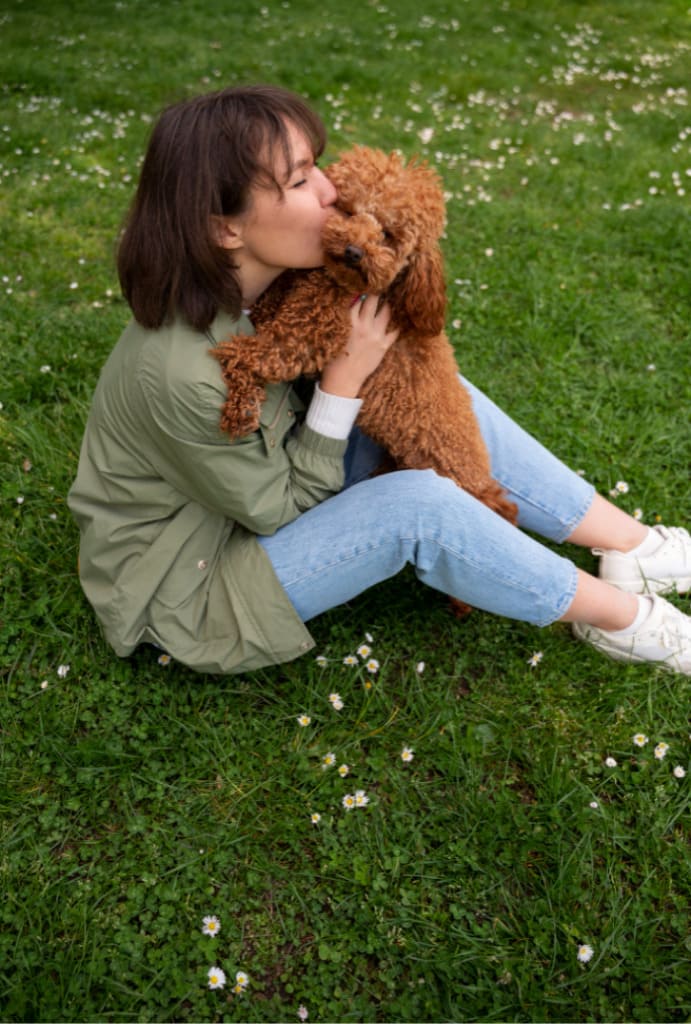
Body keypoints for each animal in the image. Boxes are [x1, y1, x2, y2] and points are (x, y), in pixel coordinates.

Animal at [213, 145, 515, 614]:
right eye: (348, 208)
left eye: (389, 234)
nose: (354, 251)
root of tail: (481, 483)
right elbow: (261, 313)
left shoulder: (303, 340)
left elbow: (247, 355)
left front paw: (240, 407)